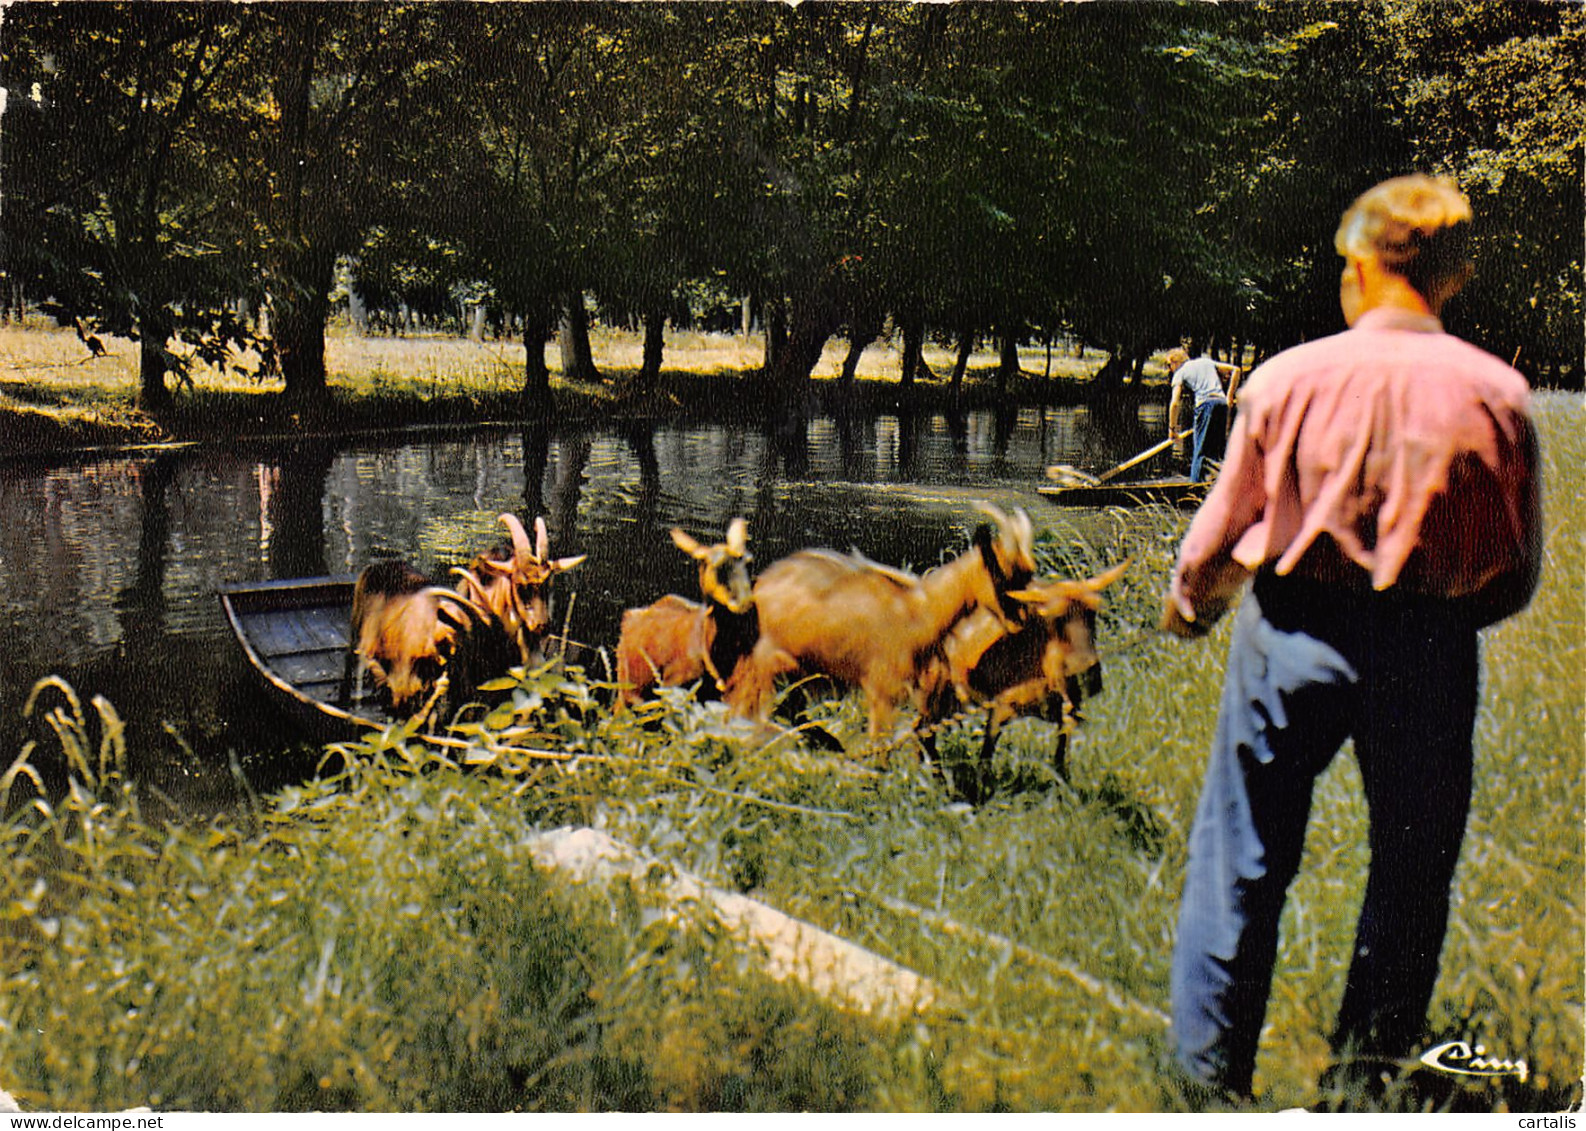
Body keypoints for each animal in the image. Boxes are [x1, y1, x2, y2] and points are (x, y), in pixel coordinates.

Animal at [726, 507, 1034, 745]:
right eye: (999, 573)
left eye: (1028, 575)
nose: (1020, 620)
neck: (918, 610)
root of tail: (757, 588)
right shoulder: (881, 688)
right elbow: (880, 749)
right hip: (765, 665)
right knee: (751, 712)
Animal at [919, 558, 1129, 793]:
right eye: (1053, 621)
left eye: (1092, 615)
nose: (1086, 676)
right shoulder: (999, 709)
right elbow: (985, 759)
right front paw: (981, 795)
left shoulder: (1064, 714)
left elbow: (1059, 761)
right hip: (934, 694)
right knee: (924, 733)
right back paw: (941, 786)